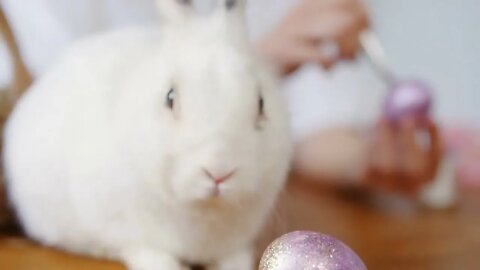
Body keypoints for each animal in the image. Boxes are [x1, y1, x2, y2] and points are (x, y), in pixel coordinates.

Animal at [1, 1, 290, 268]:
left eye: (261, 103)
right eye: (170, 97)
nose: (219, 171)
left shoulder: (235, 246)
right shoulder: (126, 231)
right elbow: (149, 253)